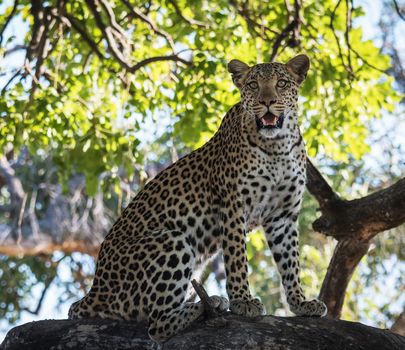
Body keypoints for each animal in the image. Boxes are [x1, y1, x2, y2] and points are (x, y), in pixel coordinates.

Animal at [69, 54, 326, 342]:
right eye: (253, 85)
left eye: (281, 83)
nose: (267, 102)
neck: (277, 146)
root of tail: (94, 290)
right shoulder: (233, 206)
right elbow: (237, 258)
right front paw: (242, 301)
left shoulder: (283, 215)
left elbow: (291, 262)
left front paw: (300, 303)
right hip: (172, 239)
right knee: (157, 325)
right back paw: (206, 305)